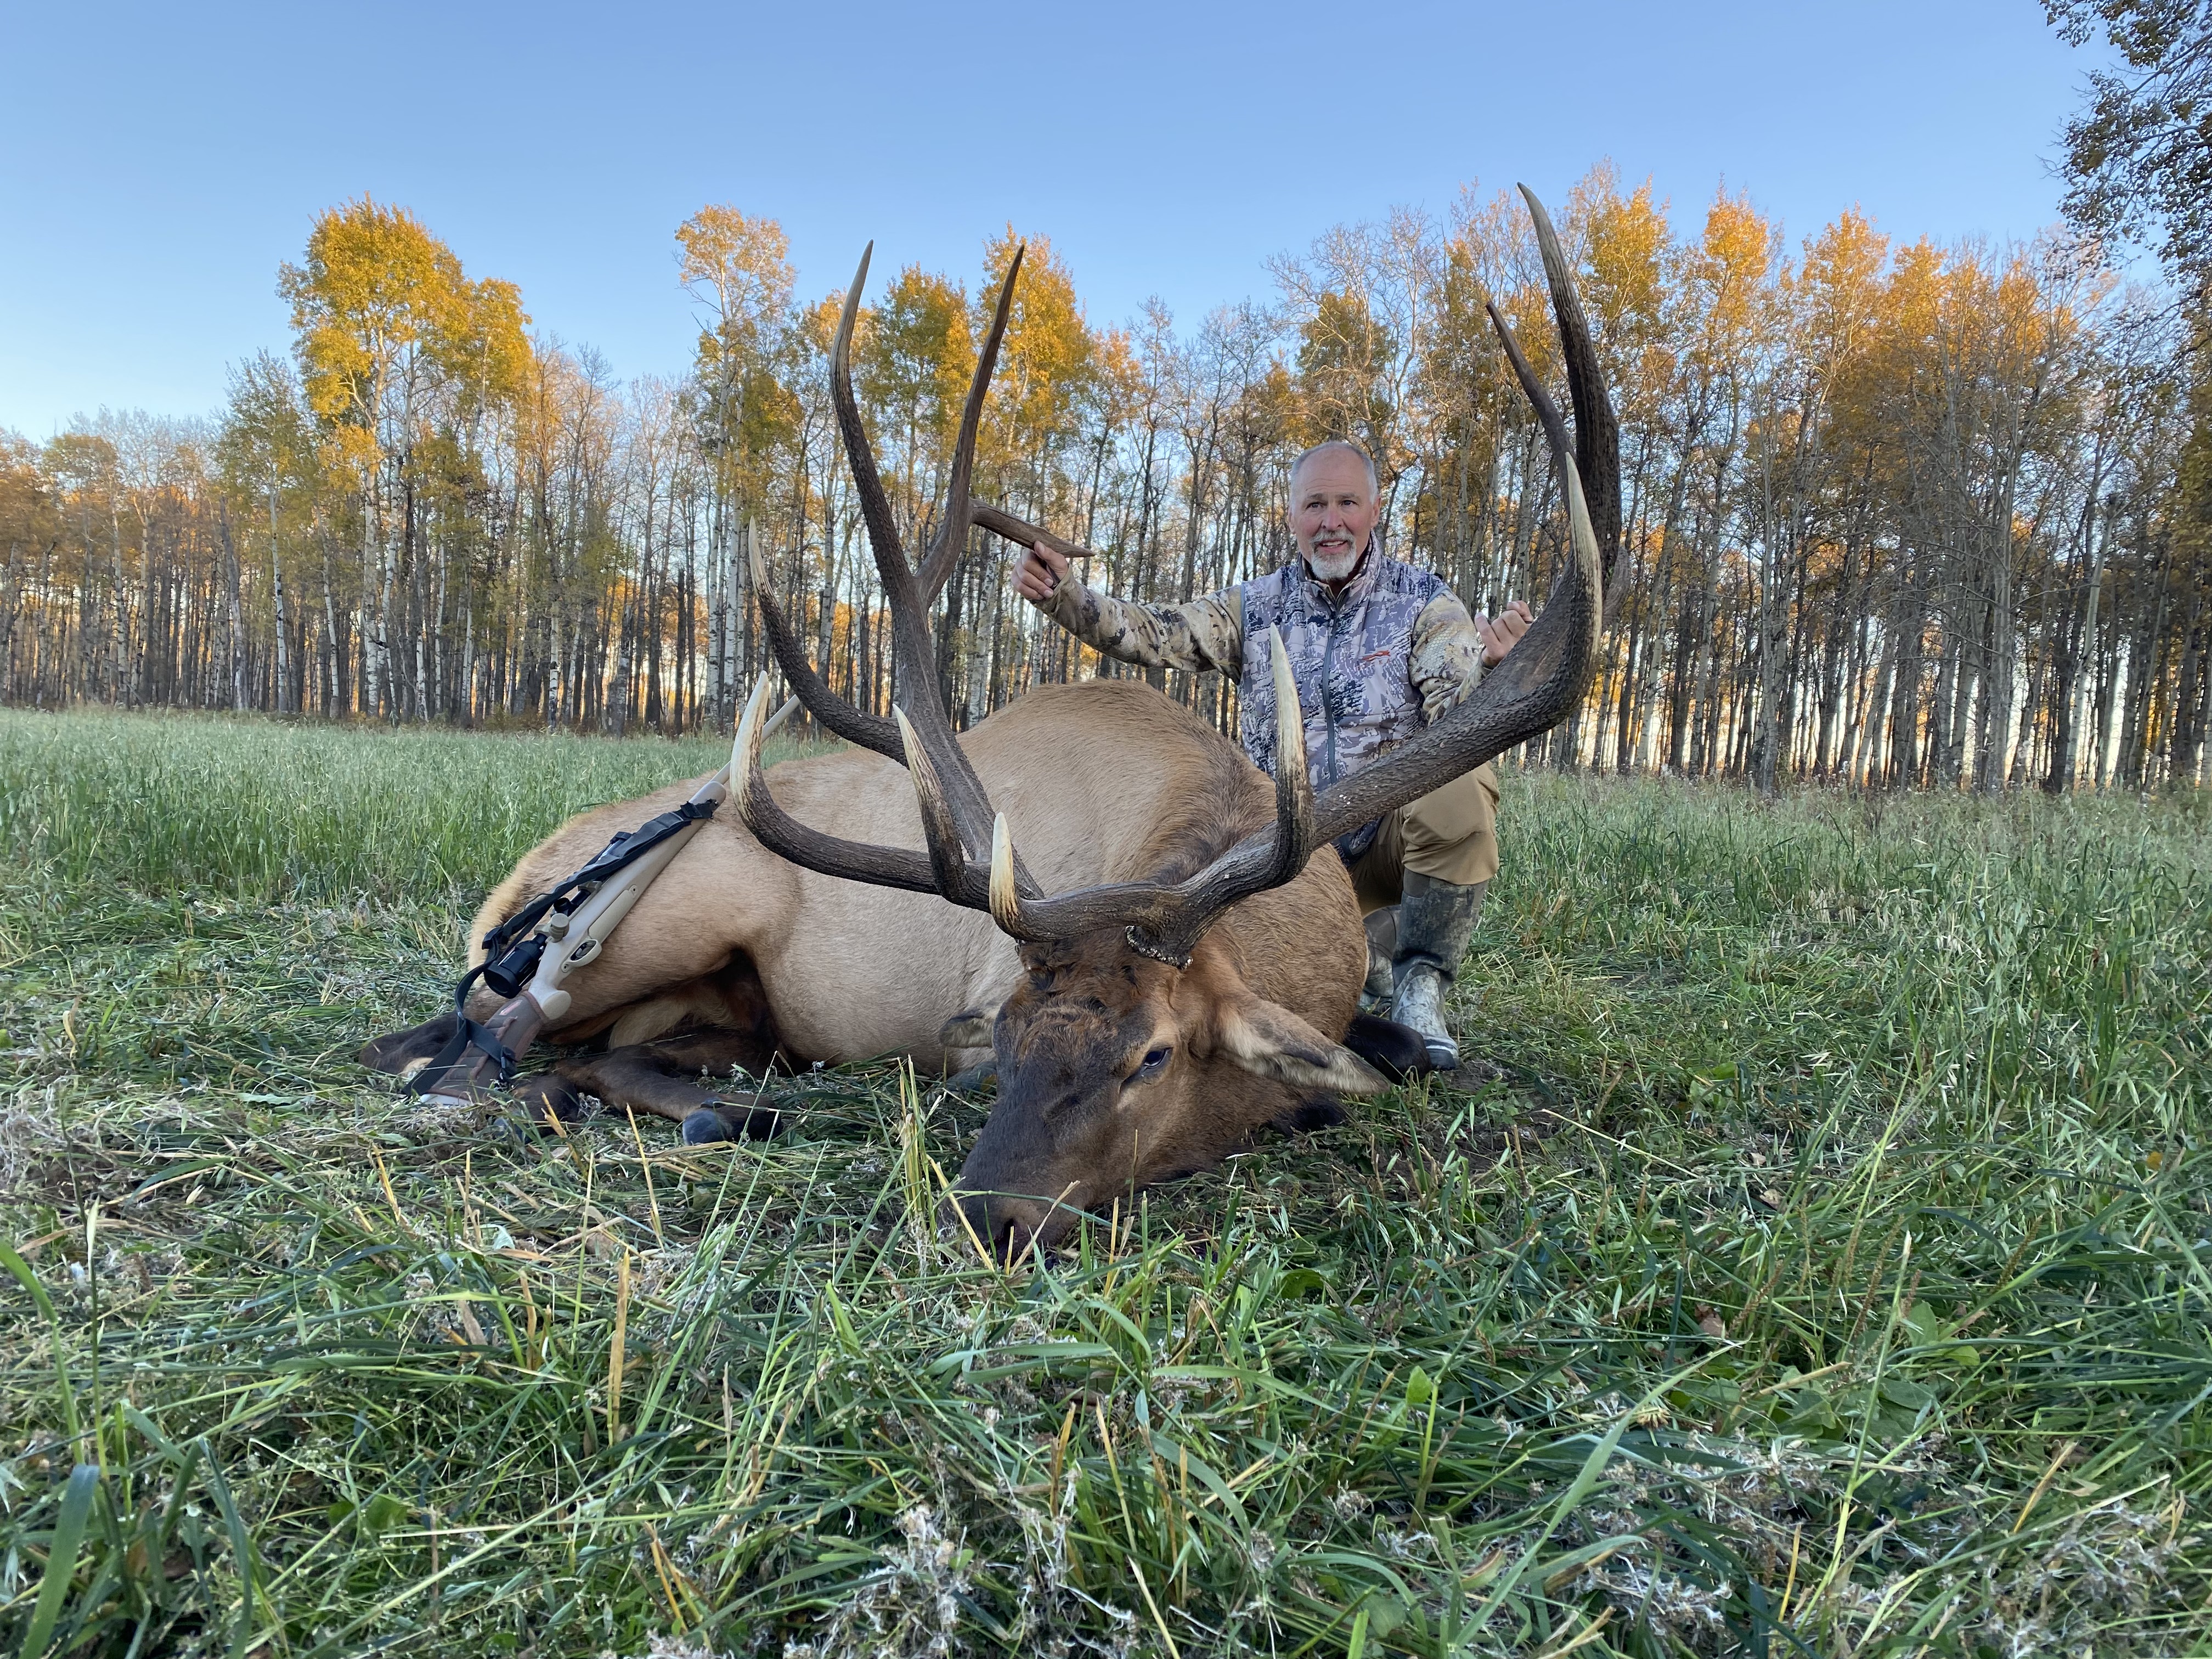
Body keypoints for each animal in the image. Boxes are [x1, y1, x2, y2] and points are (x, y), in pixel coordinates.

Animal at [363, 187, 1615, 1260]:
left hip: (725, 1007)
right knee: (479, 1044)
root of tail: (513, 887)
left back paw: (709, 1105)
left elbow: (1394, 1053)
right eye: (1007, 1038)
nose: (988, 1214)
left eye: (1152, 1055)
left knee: (566, 1058)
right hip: (675, 917)